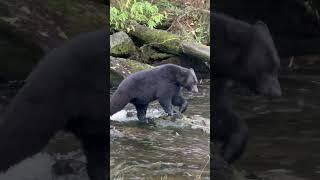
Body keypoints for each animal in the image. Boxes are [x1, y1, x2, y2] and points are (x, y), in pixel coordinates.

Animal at [212, 13, 282, 169]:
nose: (277, 93)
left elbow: (219, 111)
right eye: (267, 67)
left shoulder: (218, 79)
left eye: (277, 66)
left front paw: (226, 153)